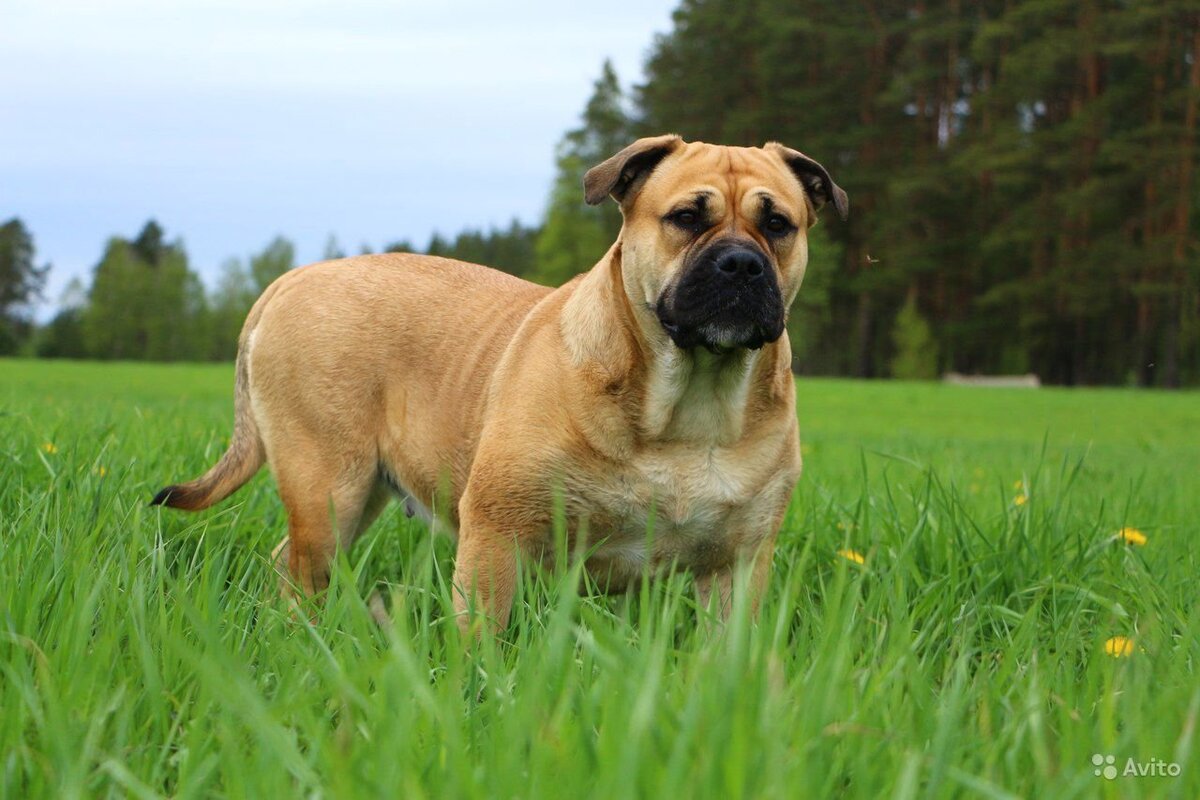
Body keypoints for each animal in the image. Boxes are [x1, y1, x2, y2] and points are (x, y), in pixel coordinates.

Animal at [152, 136, 844, 633]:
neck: (689, 401)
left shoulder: (738, 564)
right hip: (328, 489)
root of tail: (292, 279)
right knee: (303, 571)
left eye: (778, 225)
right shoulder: (496, 536)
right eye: (685, 218)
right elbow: (481, 638)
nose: (741, 263)